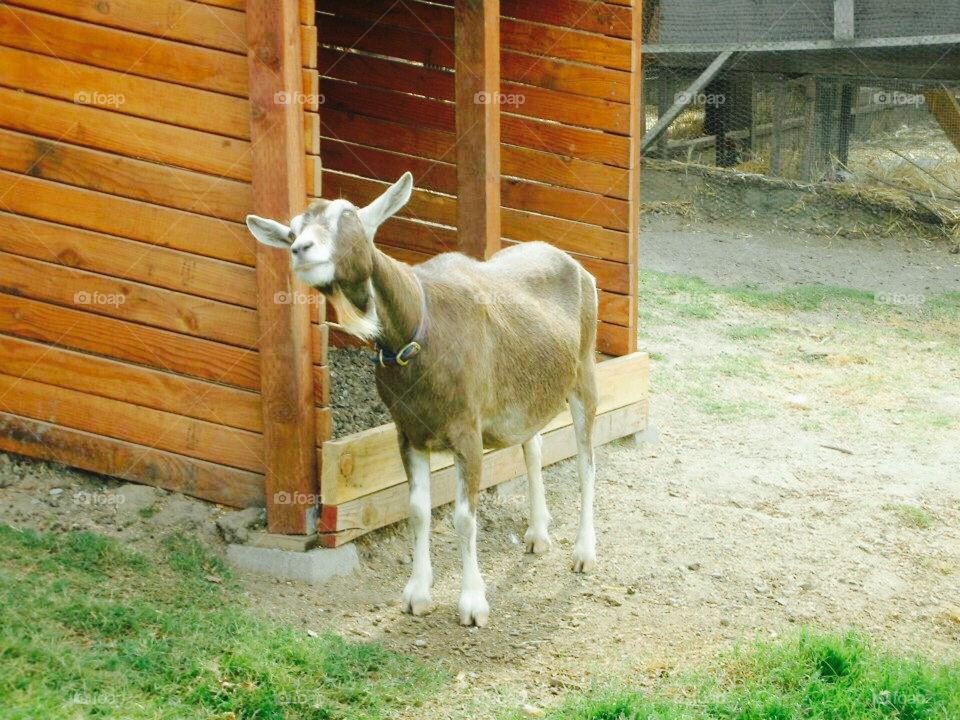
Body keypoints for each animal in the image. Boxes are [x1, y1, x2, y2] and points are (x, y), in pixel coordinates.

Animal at [246, 173, 598, 626]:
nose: (300, 250)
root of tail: (577, 267)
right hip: (527, 393)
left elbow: (465, 518)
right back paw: (538, 534)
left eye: (349, 215)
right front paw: (417, 594)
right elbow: (417, 510)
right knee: (532, 445)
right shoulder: (408, 433)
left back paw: (584, 553)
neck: (420, 324)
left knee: (587, 462)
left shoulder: (468, 433)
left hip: (584, 375)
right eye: (291, 230)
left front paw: (472, 603)